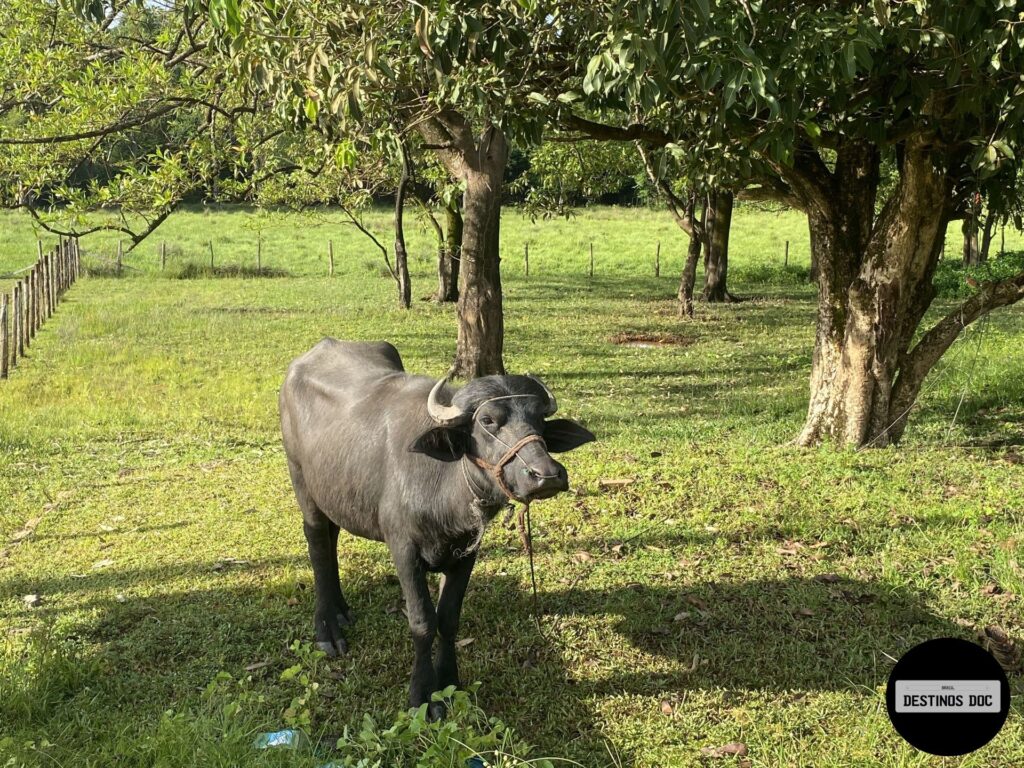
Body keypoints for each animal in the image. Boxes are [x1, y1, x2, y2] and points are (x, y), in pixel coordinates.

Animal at [280, 339, 598, 720]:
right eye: (488, 421)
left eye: (540, 420)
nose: (546, 475)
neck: (446, 486)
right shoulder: (403, 549)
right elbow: (422, 623)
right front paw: (421, 695)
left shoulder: (466, 552)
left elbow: (448, 619)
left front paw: (448, 682)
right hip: (301, 482)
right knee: (316, 541)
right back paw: (327, 626)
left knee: (331, 537)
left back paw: (341, 609)